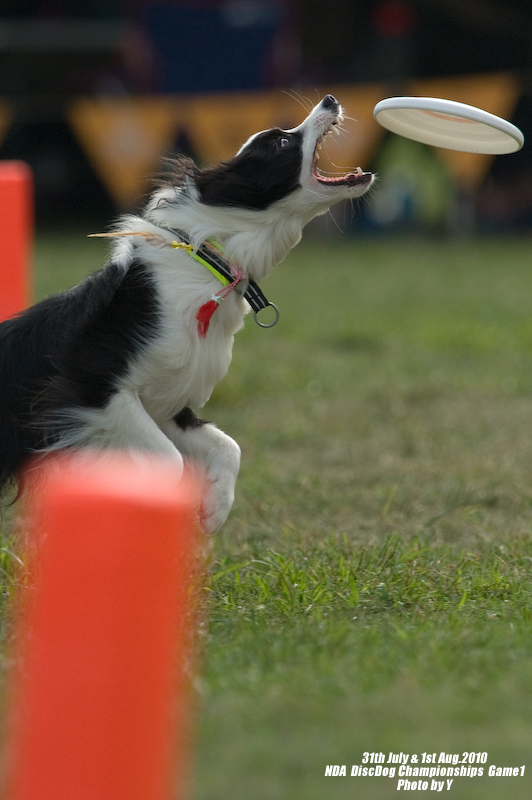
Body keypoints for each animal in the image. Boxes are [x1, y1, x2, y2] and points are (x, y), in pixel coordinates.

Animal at [0, 95, 374, 532]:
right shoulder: (88, 389)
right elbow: (169, 461)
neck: (214, 260)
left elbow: (228, 446)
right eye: (281, 142)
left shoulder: (166, 401)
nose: (330, 100)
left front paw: (214, 509)